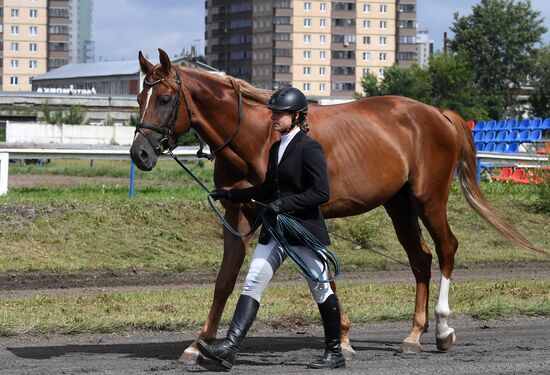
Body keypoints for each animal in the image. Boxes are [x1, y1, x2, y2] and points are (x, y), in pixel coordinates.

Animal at [130, 50, 544, 364]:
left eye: (164, 99)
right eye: (139, 99)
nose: (140, 154)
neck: (258, 136)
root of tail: (436, 113)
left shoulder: (287, 218)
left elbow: (319, 276)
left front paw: (341, 341)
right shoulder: (239, 216)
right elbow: (225, 281)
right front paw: (196, 344)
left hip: (429, 199)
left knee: (446, 249)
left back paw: (443, 329)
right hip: (399, 205)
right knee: (420, 258)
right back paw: (413, 335)